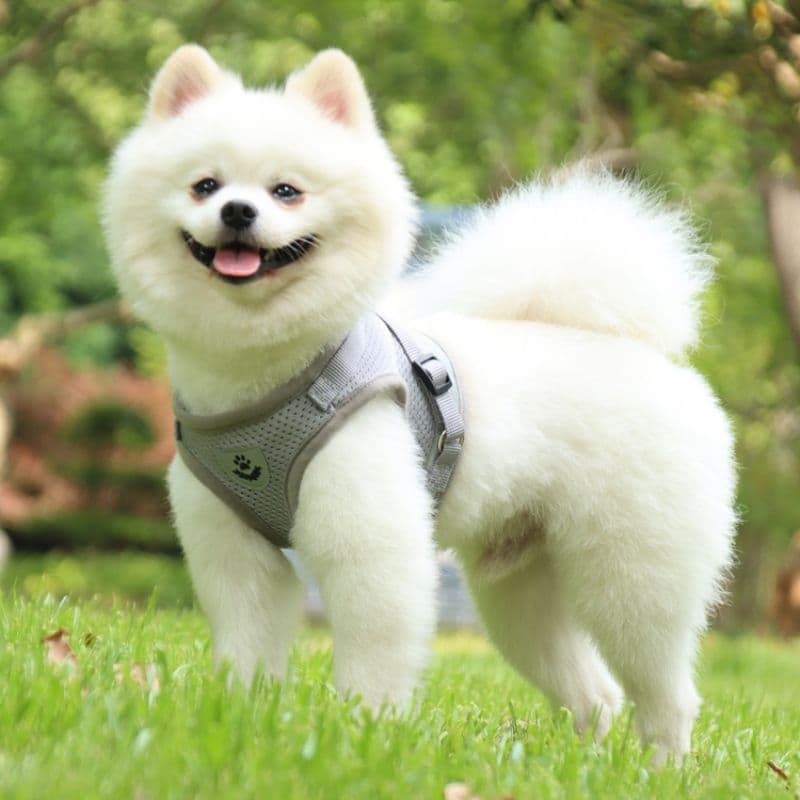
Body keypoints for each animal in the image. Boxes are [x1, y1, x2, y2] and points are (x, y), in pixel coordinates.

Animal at [106, 43, 736, 764]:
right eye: (205, 185)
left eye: (287, 190)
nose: (238, 211)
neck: (262, 378)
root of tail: (637, 351)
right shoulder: (234, 553)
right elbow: (248, 643)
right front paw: (239, 715)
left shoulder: (370, 543)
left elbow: (373, 652)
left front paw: (361, 732)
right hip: (521, 591)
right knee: (595, 691)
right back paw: (585, 762)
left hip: (632, 574)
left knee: (666, 689)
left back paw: (662, 767)